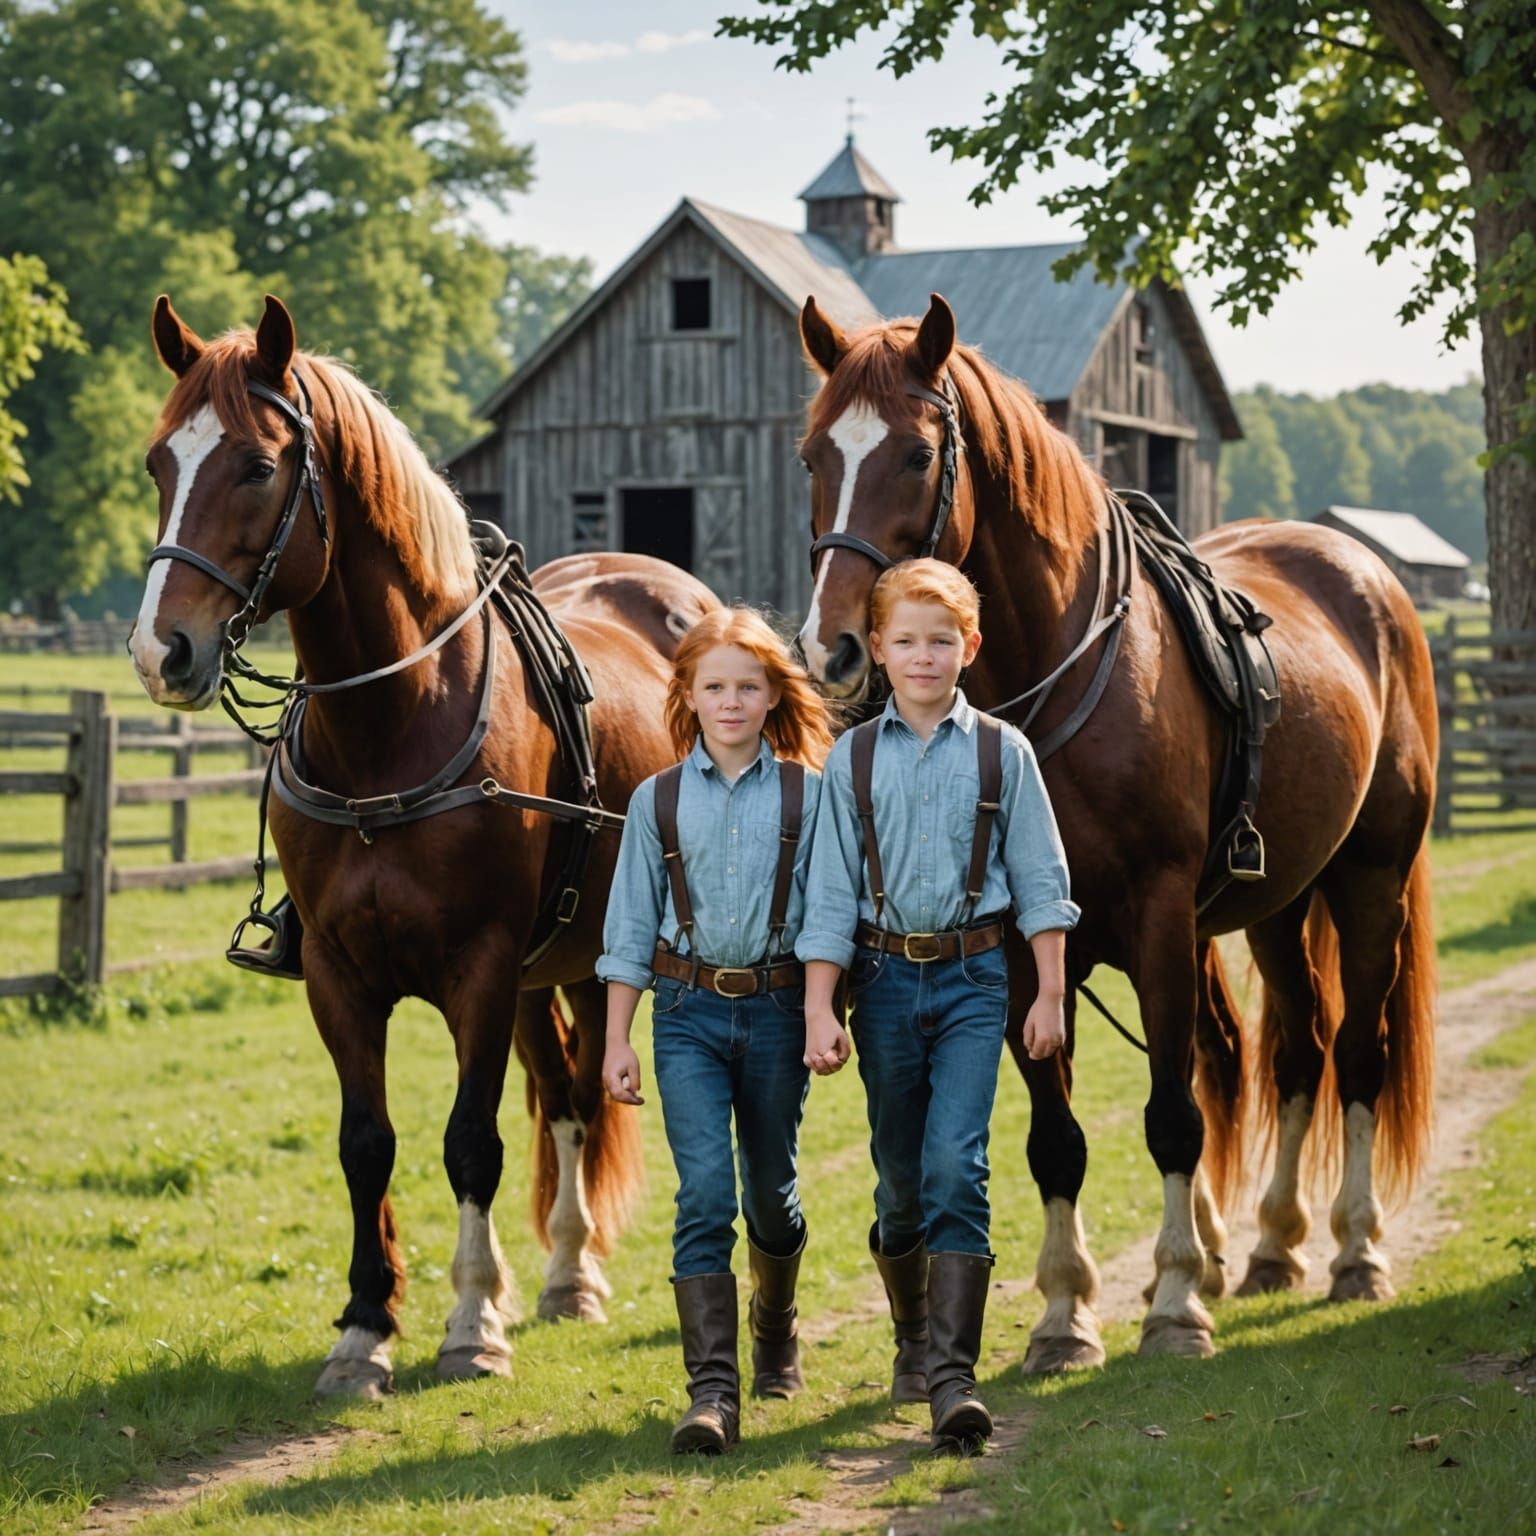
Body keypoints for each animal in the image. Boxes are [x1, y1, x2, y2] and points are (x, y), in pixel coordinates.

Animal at [130, 294, 718, 1399]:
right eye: (156, 465)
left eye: (257, 467)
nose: (160, 652)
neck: (389, 728)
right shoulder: (339, 974)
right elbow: (368, 1144)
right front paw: (366, 1327)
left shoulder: (478, 971)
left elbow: (470, 1143)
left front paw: (471, 1322)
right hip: (546, 970)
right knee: (565, 1095)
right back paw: (564, 1273)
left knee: (579, 1095)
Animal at [794, 293, 1438, 1366]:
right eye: (812, 456)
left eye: (919, 455)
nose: (833, 647)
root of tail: (1369, 577)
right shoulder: (1020, 946)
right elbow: (1056, 1140)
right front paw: (1066, 1314)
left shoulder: (1160, 916)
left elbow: (1173, 1115)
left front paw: (1175, 1304)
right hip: (1277, 904)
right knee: (1295, 1053)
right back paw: (1269, 1246)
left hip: (1368, 884)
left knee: (1355, 1057)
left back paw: (1354, 1251)